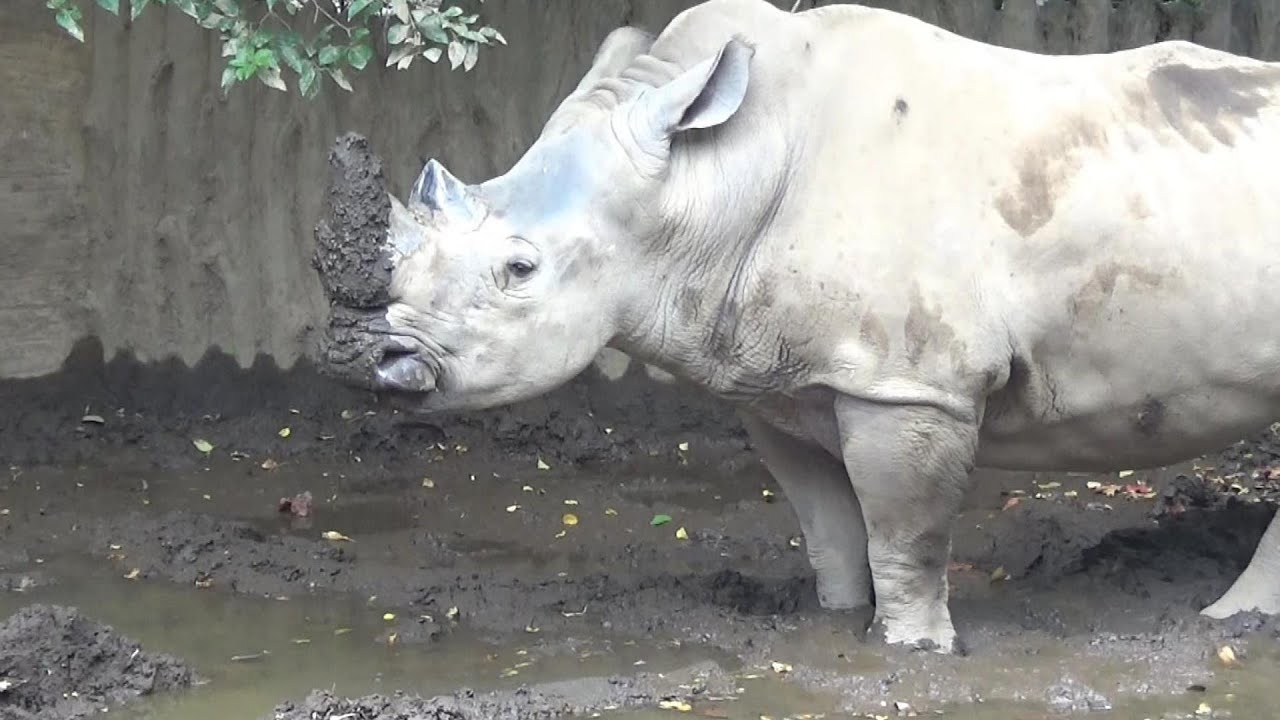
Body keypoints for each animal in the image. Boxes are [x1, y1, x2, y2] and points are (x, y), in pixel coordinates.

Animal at [312, 0, 1280, 653]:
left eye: (520, 271)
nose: (363, 358)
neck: (709, 178)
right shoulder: (775, 377)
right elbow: (827, 521)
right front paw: (838, 620)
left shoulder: (908, 383)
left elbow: (904, 529)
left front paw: (912, 649)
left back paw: (1229, 622)